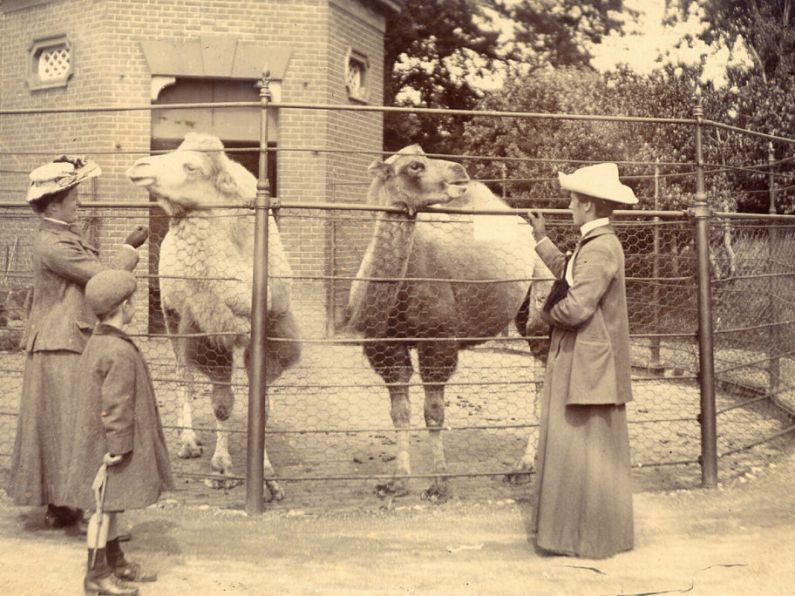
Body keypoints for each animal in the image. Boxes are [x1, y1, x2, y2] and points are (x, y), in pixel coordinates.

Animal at [127, 133, 302, 496]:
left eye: (191, 166)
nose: (138, 166)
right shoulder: (211, 332)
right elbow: (222, 403)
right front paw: (222, 468)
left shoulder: (270, 326)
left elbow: (260, 403)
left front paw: (267, 474)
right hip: (171, 313)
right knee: (184, 374)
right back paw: (188, 441)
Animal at [348, 144, 552, 498]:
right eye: (415, 166)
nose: (459, 171)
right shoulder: (385, 347)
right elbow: (399, 413)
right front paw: (397, 480)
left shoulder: (438, 340)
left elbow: (433, 413)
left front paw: (440, 482)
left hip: (540, 297)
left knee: (541, 379)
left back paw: (522, 467)